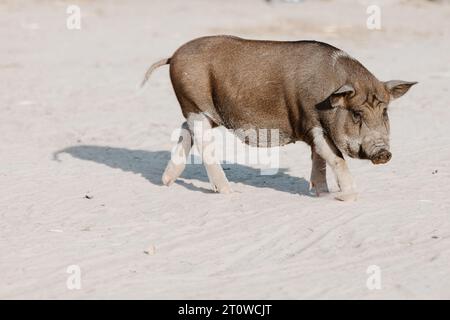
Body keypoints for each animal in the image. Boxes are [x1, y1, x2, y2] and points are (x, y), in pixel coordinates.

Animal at [142, 35, 416, 200]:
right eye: (357, 113)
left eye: (385, 111)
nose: (383, 153)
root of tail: (174, 56)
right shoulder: (310, 122)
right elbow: (336, 158)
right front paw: (347, 197)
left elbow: (320, 160)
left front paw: (323, 194)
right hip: (194, 105)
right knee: (204, 144)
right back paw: (231, 192)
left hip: (204, 113)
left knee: (184, 130)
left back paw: (166, 182)